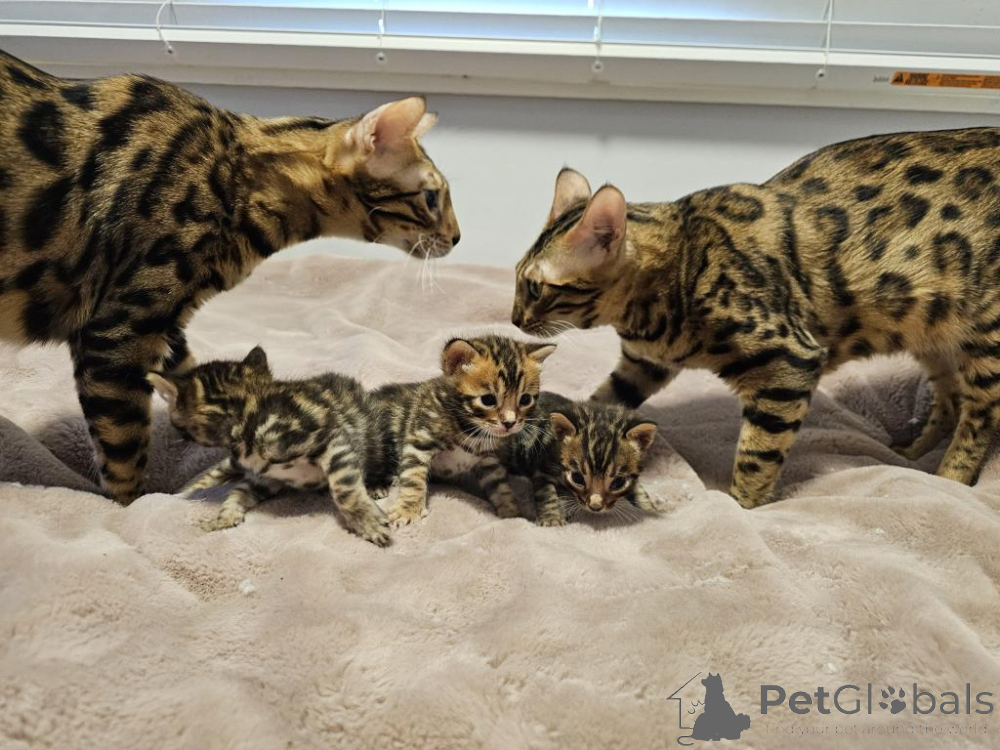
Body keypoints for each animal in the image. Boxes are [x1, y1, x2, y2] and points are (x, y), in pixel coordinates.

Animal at [0, 49, 459, 504]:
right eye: (432, 198)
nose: (457, 238)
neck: (237, 179)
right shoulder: (117, 334)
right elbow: (123, 452)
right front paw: (133, 505)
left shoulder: (165, 323)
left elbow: (191, 376)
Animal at [148, 347, 395, 545]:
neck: (243, 415)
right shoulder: (264, 477)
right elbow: (238, 492)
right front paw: (224, 516)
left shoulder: (331, 440)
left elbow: (345, 488)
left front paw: (367, 522)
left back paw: (377, 484)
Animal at [373, 335, 556, 526]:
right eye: (488, 400)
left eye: (525, 399)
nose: (510, 423)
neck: (473, 430)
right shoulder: (420, 441)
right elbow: (413, 478)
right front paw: (407, 510)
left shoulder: (489, 462)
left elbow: (501, 488)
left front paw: (511, 514)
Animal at [489, 391, 658, 525]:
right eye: (577, 478)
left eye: (618, 483)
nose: (595, 507)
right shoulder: (543, 467)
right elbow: (546, 493)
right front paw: (551, 518)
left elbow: (638, 489)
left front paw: (650, 507)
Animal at [512, 131, 1000, 508]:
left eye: (534, 287)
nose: (514, 318)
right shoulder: (643, 364)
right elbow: (602, 402)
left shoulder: (789, 362)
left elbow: (757, 456)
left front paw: (742, 506)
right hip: (932, 334)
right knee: (949, 401)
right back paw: (911, 454)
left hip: (985, 338)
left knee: (979, 417)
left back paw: (949, 478)